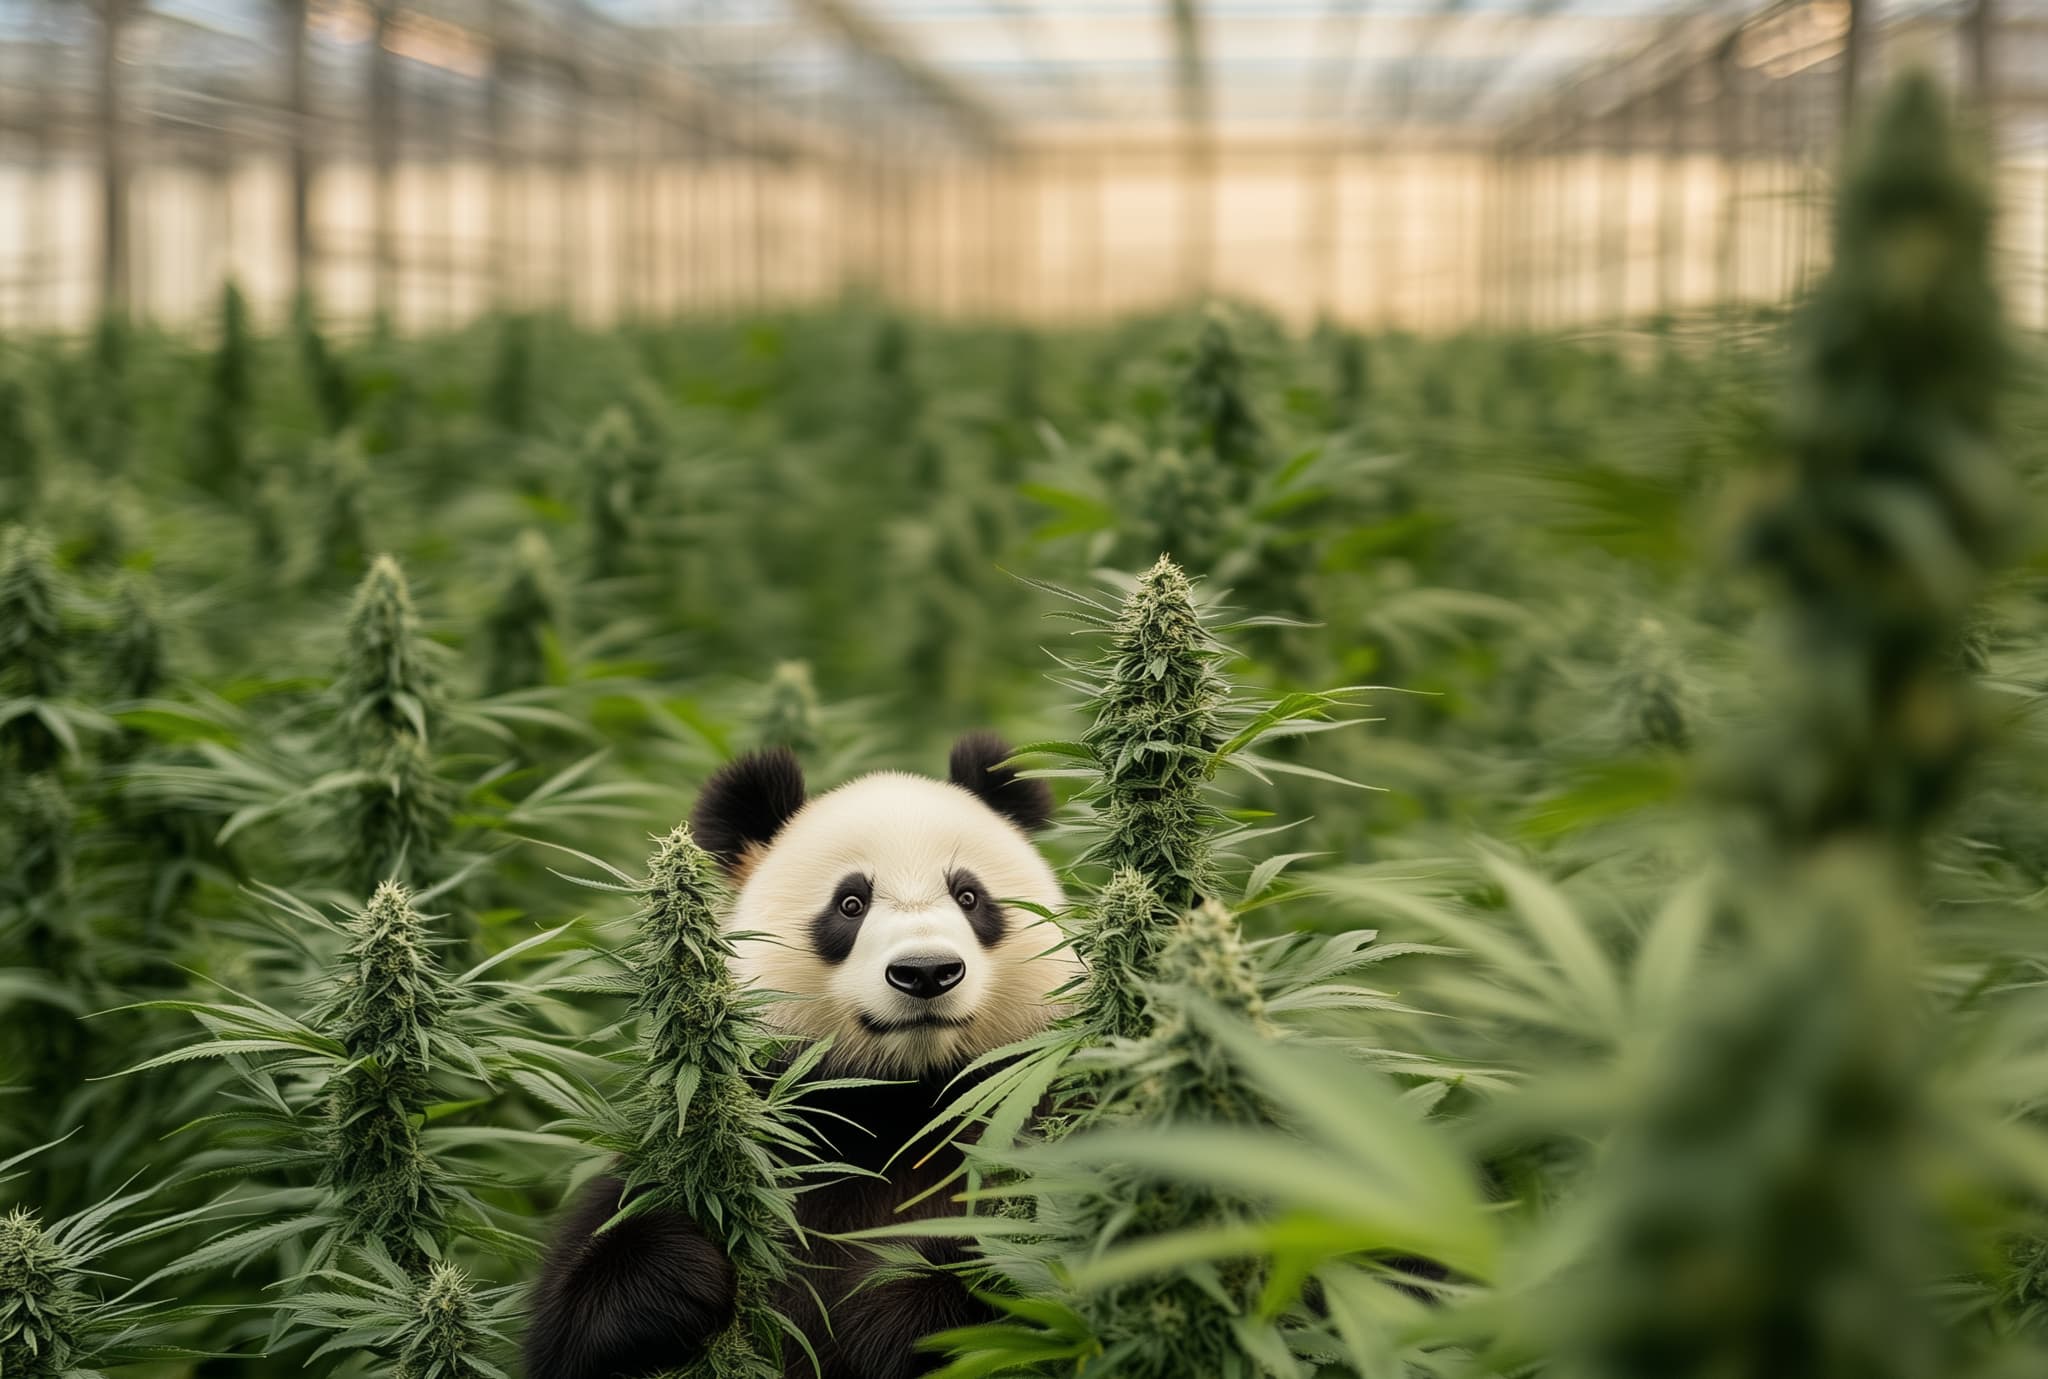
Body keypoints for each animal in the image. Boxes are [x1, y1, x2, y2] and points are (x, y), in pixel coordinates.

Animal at [526, 732, 1073, 1379]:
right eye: (850, 904)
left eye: (969, 896)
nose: (926, 971)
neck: (905, 1101)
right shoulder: (744, 1138)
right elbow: (572, 1324)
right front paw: (676, 1275)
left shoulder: (1041, 1106)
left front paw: (902, 1299)